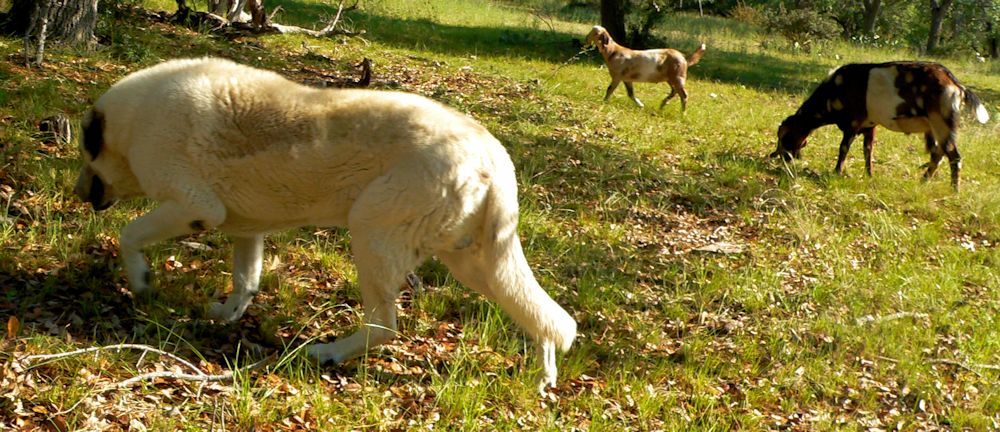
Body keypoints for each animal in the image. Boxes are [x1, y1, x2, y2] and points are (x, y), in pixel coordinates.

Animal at [76, 57, 580, 392]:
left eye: (86, 152)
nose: (80, 192)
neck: (133, 121)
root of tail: (492, 151)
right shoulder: (246, 229)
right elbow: (245, 281)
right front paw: (227, 315)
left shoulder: (195, 207)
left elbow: (129, 235)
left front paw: (141, 282)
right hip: (475, 262)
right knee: (546, 316)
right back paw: (544, 375)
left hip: (372, 233)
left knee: (384, 327)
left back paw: (329, 352)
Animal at [768, 60, 988, 191]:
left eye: (784, 137)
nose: (778, 156)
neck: (833, 92)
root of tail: (957, 86)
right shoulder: (869, 126)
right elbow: (868, 150)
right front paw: (869, 174)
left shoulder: (853, 123)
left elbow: (843, 148)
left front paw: (837, 172)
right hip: (933, 127)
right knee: (937, 153)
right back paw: (923, 181)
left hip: (942, 122)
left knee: (953, 156)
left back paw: (954, 190)